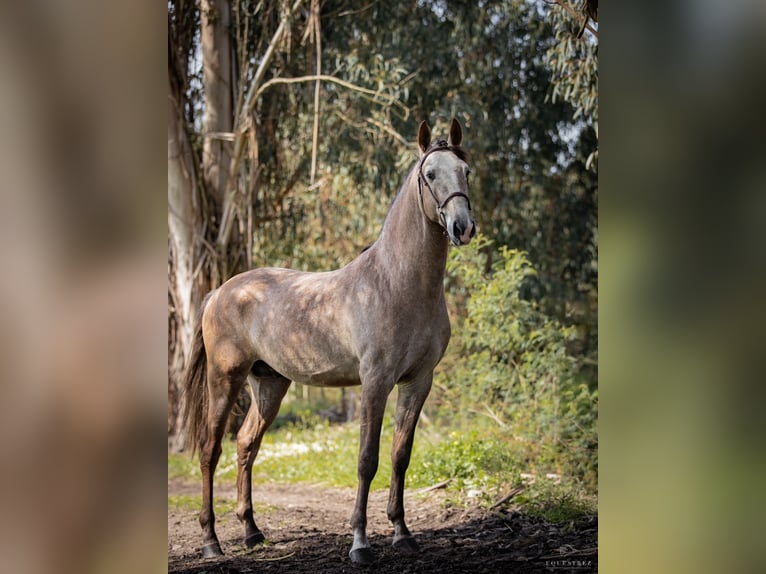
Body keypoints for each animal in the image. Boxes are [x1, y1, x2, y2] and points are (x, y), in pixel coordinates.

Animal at [182, 118, 476, 568]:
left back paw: (252, 532)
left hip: (269, 384)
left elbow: (400, 455)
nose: (462, 227)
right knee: (210, 450)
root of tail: (219, 292)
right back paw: (211, 540)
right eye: (429, 175)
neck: (398, 284)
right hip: (224, 380)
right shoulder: (375, 382)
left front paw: (402, 533)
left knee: (246, 444)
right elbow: (367, 460)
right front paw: (360, 543)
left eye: (466, 172)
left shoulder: (417, 381)